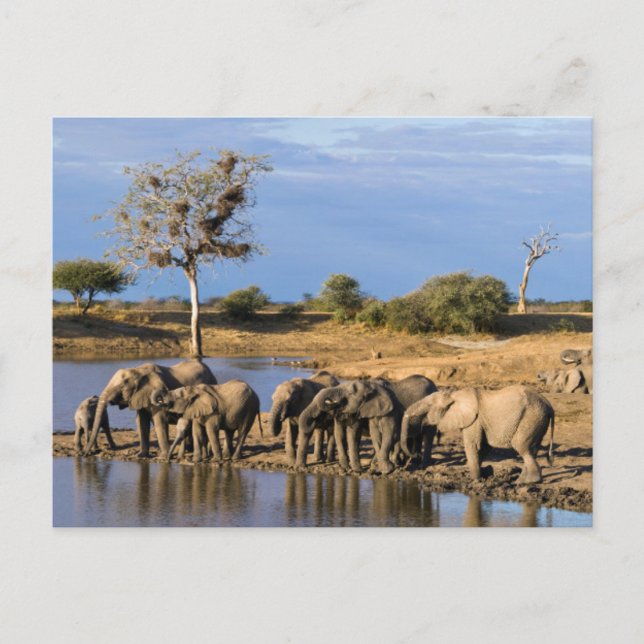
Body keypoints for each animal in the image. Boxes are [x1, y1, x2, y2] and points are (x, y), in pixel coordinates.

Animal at [84, 359, 217, 458]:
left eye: (122, 386)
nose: (86, 454)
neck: (138, 370)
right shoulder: (140, 396)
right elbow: (141, 422)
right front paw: (141, 455)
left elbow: (159, 420)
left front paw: (163, 457)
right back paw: (189, 450)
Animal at [402, 384, 555, 484]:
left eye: (428, 407)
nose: (413, 457)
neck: (454, 395)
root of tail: (549, 406)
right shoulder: (479, 421)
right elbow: (483, 448)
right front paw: (484, 475)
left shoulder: (474, 420)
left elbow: (473, 446)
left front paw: (474, 481)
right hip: (537, 420)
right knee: (531, 449)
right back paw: (520, 481)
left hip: (531, 417)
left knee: (521, 446)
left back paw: (528, 482)